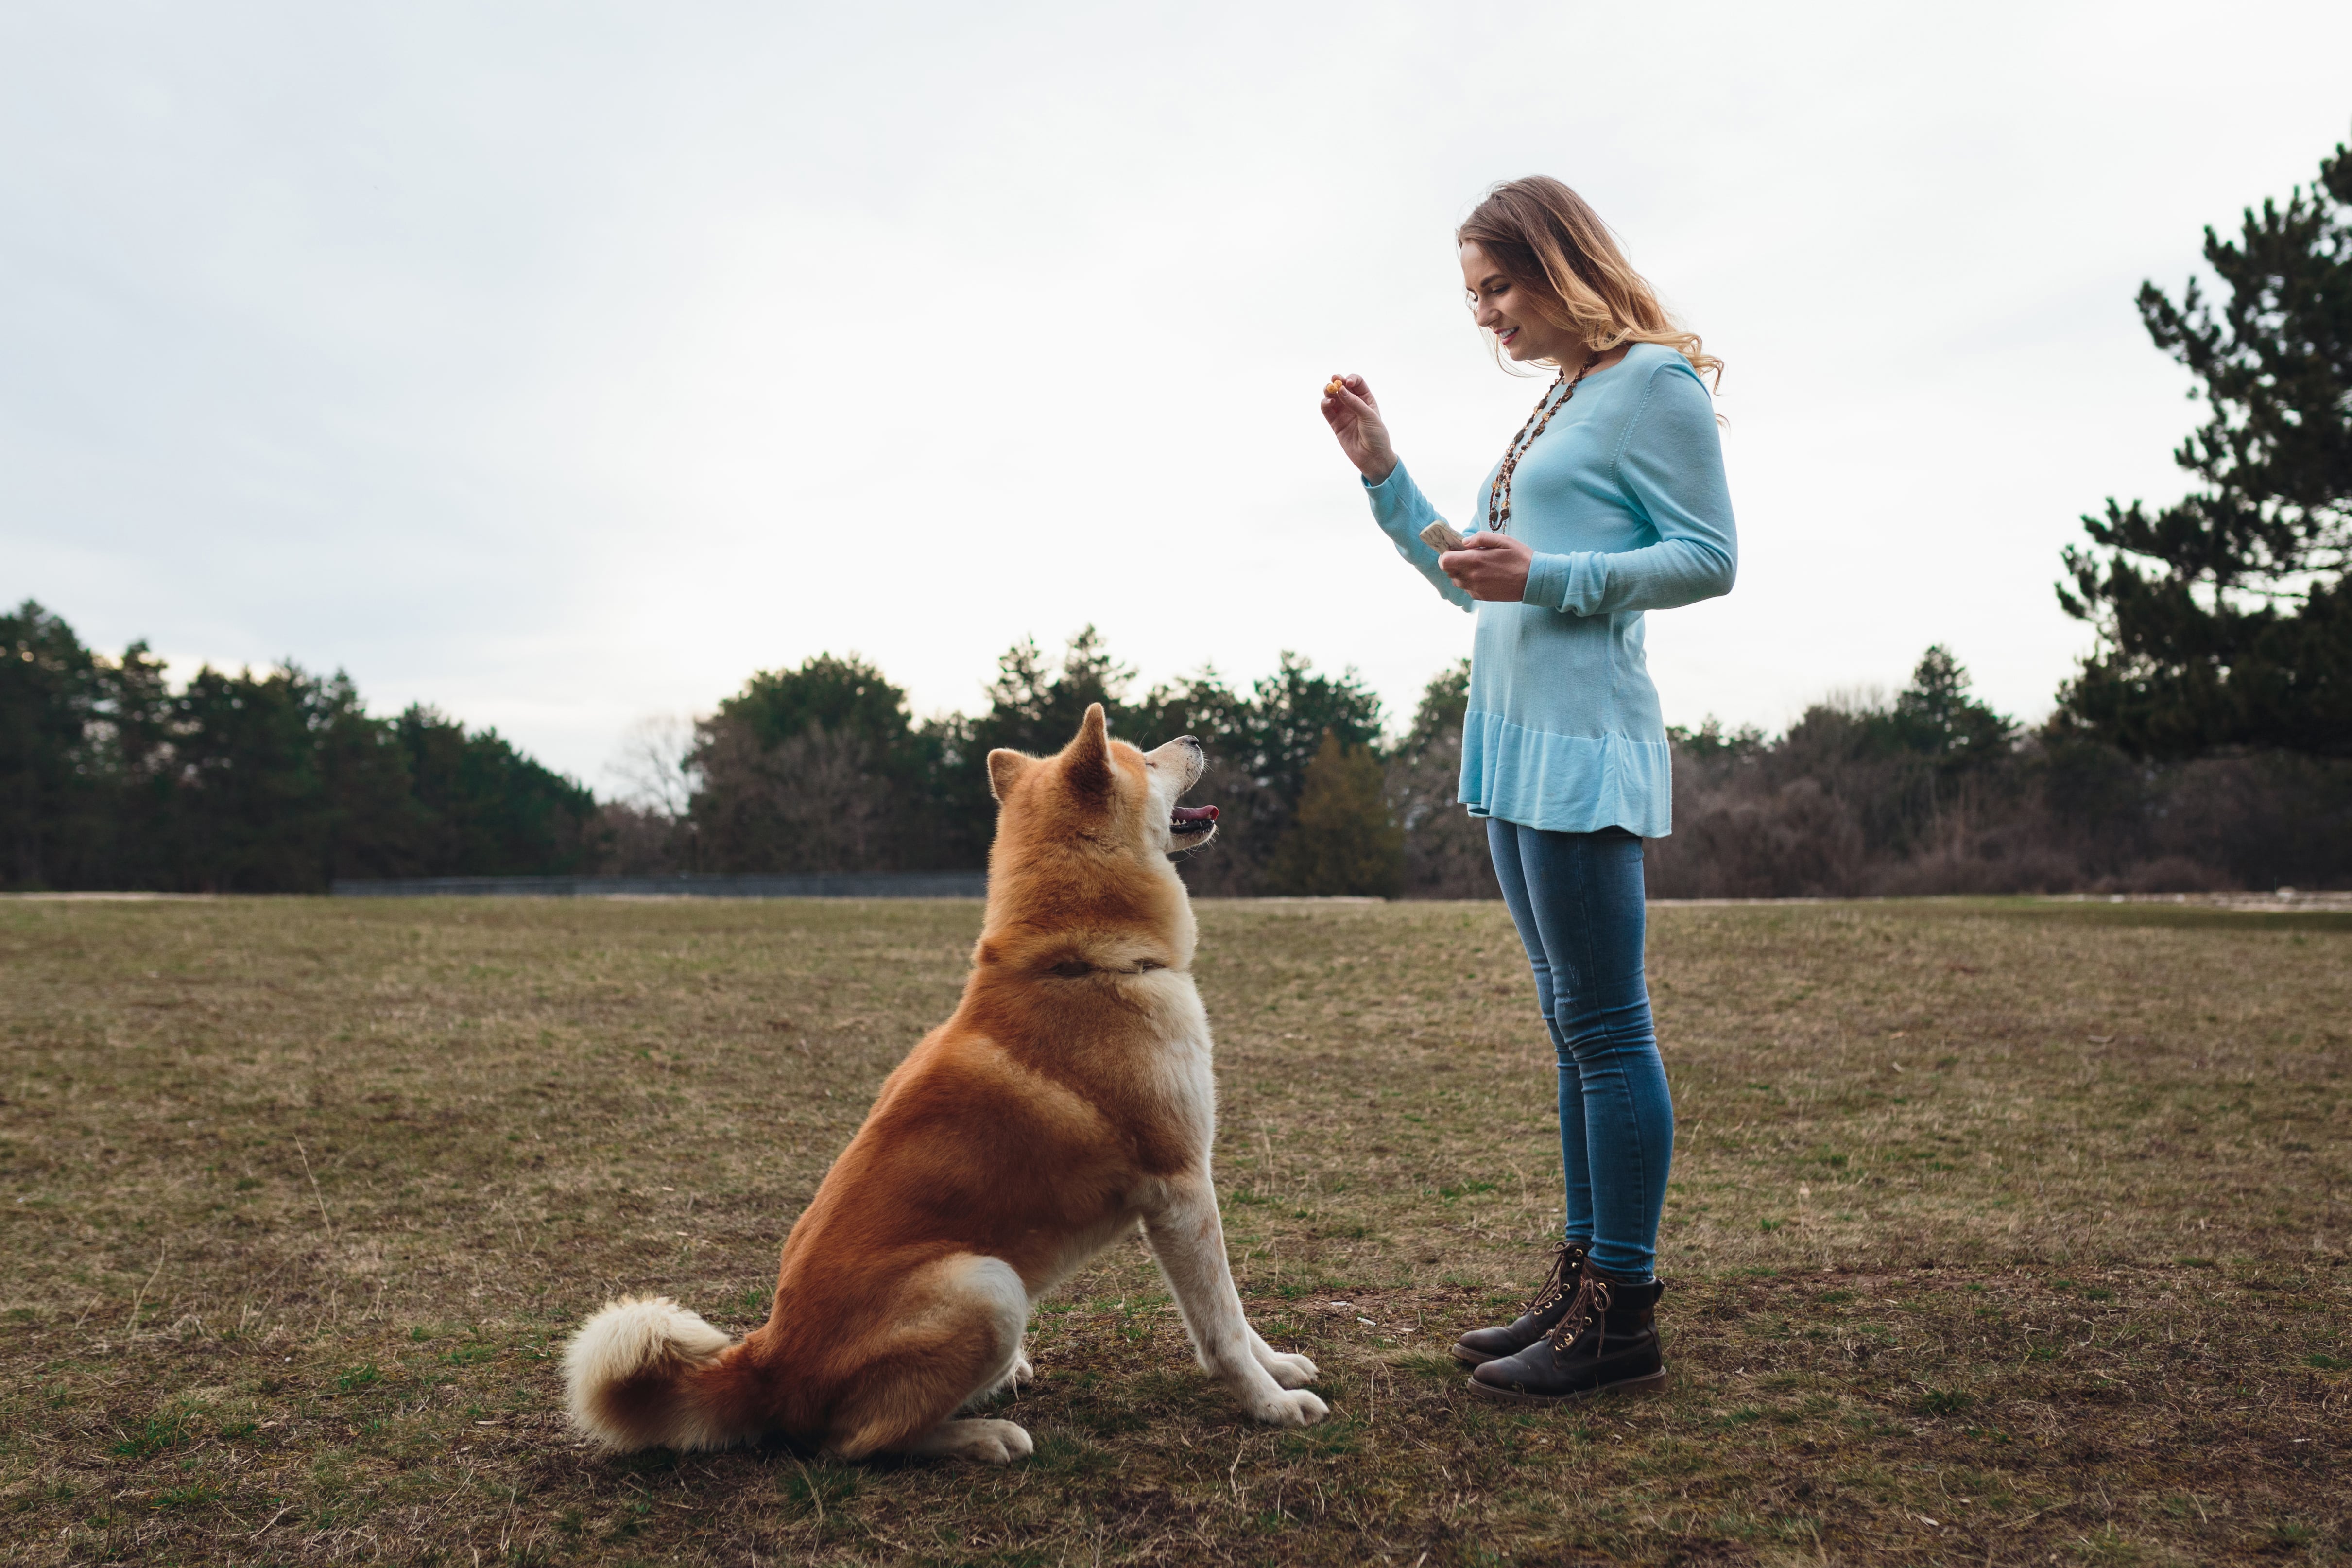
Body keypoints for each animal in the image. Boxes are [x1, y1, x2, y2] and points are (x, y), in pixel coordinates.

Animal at [555, 705, 1326, 1466]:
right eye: (1142, 756)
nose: (1195, 734)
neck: (1079, 962)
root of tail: (767, 1363)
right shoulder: (1180, 1185)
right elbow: (1222, 1320)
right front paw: (1268, 1402)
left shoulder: (1178, 1196)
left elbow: (1232, 1316)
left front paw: (1277, 1365)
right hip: (988, 1285)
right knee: (856, 1442)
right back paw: (980, 1434)